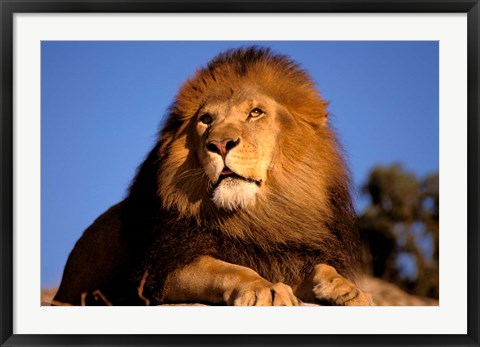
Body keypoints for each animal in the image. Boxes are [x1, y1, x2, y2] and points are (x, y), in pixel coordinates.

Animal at [53, 47, 372, 308]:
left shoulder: (288, 255)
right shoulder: (164, 270)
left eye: (255, 113)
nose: (219, 144)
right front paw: (265, 288)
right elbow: (229, 269)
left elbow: (320, 267)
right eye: (206, 119)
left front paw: (348, 289)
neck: (258, 217)